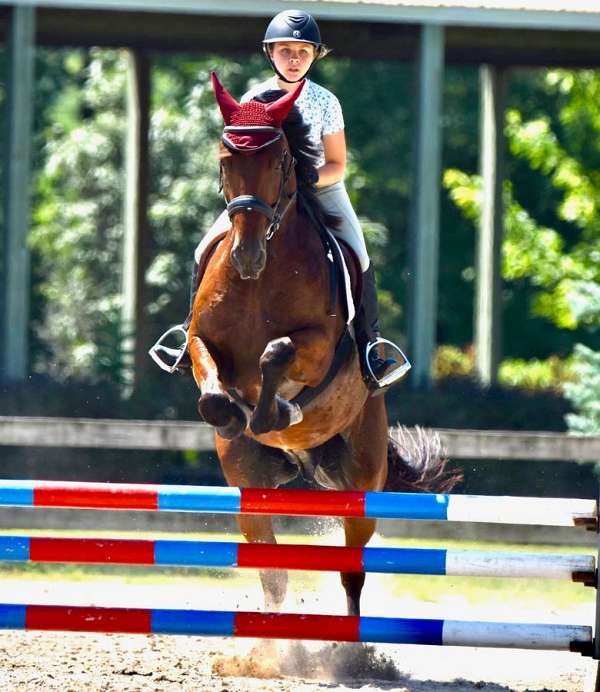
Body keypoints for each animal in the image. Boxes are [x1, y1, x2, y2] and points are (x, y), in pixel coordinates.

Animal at [188, 73, 459, 616]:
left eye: (280, 162)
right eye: (226, 159)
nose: (247, 256)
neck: (259, 282)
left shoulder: (318, 347)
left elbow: (278, 353)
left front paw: (276, 412)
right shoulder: (199, 340)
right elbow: (211, 386)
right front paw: (232, 415)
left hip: (360, 481)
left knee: (351, 572)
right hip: (250, 486)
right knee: (272, 573)